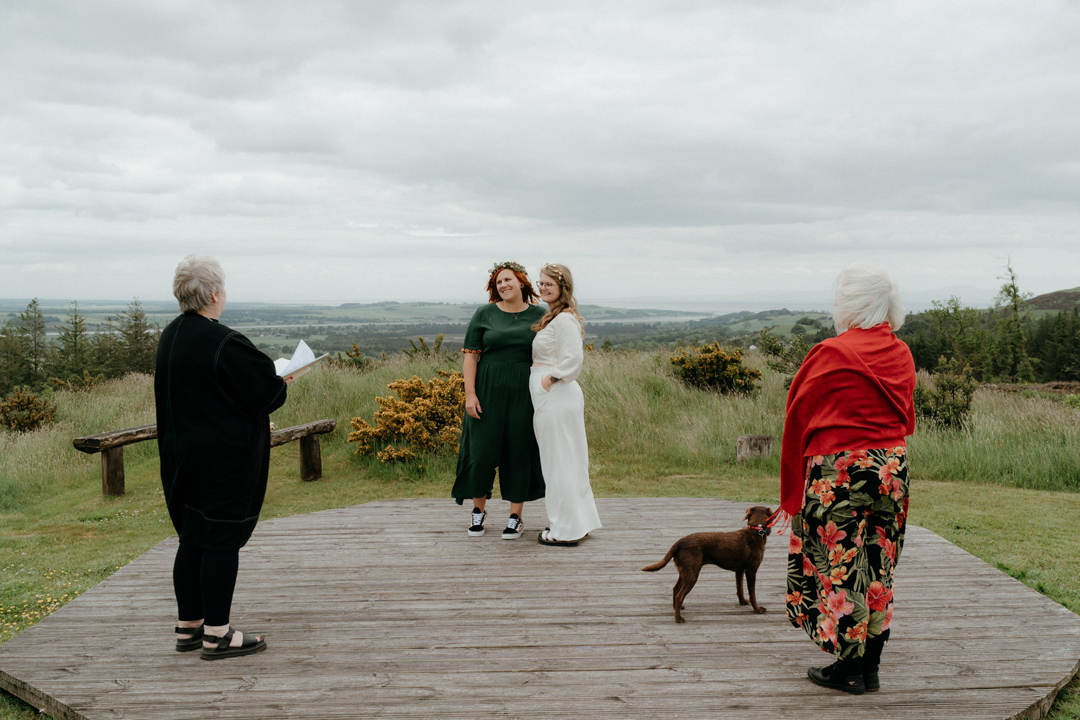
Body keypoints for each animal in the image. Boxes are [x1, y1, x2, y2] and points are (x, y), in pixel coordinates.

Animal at [639, 505, 777, 621]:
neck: (756, 530)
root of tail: (679, 542)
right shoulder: (751, 570)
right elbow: (752, 593)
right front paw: (758, 609)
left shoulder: (739, 570)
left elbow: (740, 588)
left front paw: (742, 602)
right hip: (692, 574)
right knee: (679, 595)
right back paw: (678, 619)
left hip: (685, 572)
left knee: (675, 589)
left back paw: (677, 609)